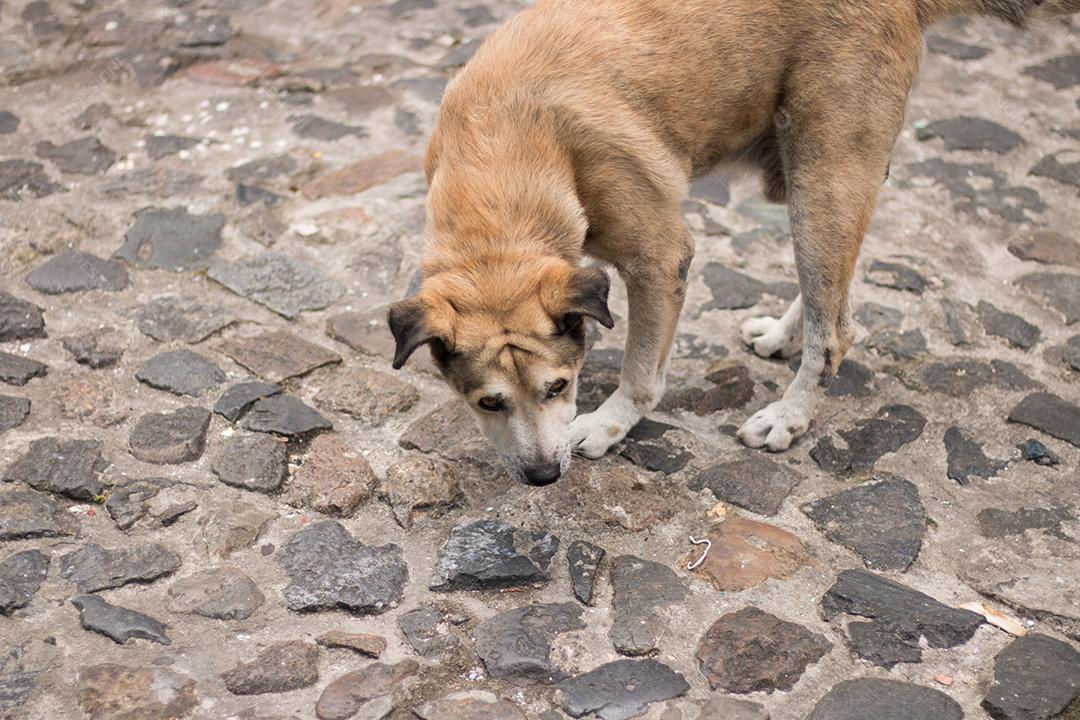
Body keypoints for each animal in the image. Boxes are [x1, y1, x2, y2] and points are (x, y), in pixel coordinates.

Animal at [390, 0, 1080, 487]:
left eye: (559, 387)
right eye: (487, 402)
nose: (541, 476)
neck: (504, 147)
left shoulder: (660, 260)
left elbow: (642, 373)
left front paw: (611, 425)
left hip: (823, 178)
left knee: (836, 332)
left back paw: (789, 416)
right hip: (811, 183)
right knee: (837, 290)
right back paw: (784, 333)